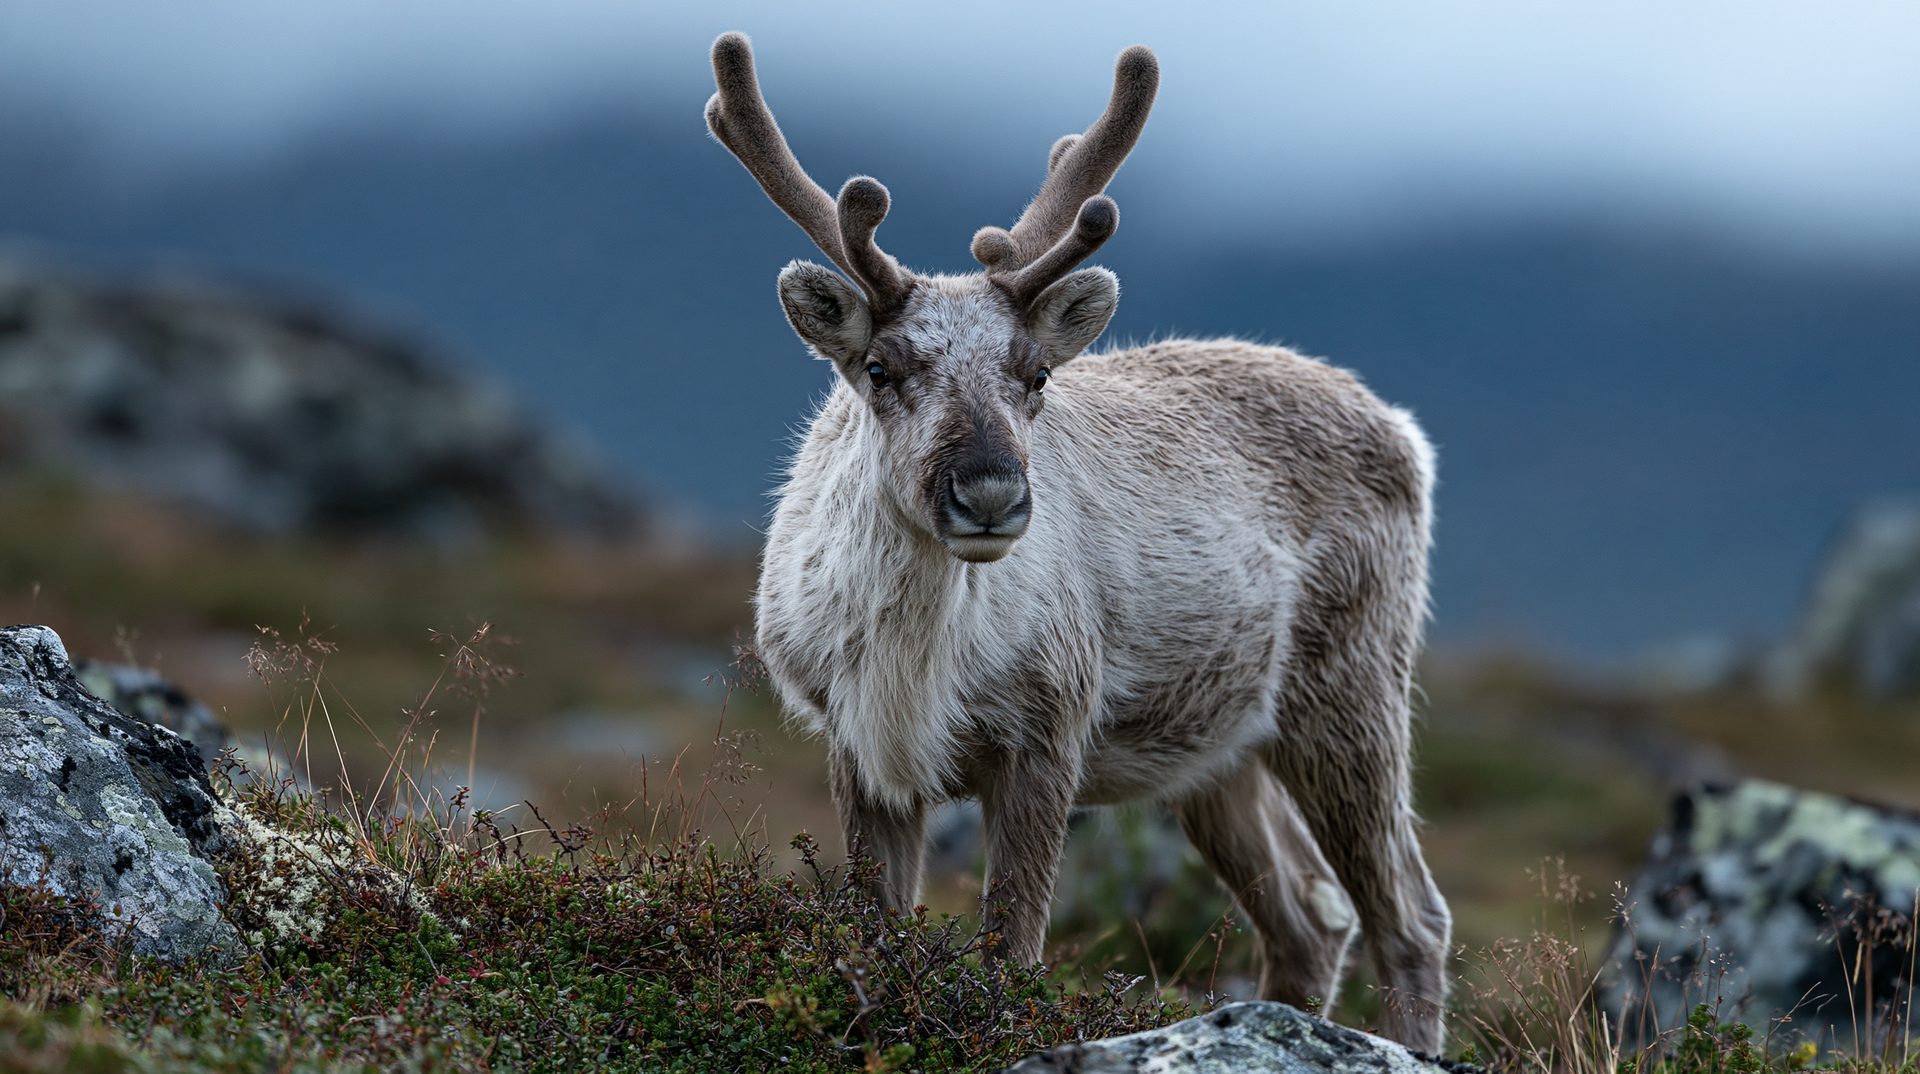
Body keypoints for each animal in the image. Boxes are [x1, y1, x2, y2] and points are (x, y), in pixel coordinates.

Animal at [705, 31, 1452, 1050]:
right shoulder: (859, 747)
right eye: (879, 366)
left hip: (1353, 688)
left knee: (1410, 915)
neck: (915, 659)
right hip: (1218, 755)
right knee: (1311, 917)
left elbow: (1012, 950)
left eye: (1036, 375)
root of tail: (1405, 432)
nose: (990, 492)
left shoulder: (1048, 732)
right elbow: (870, 934)